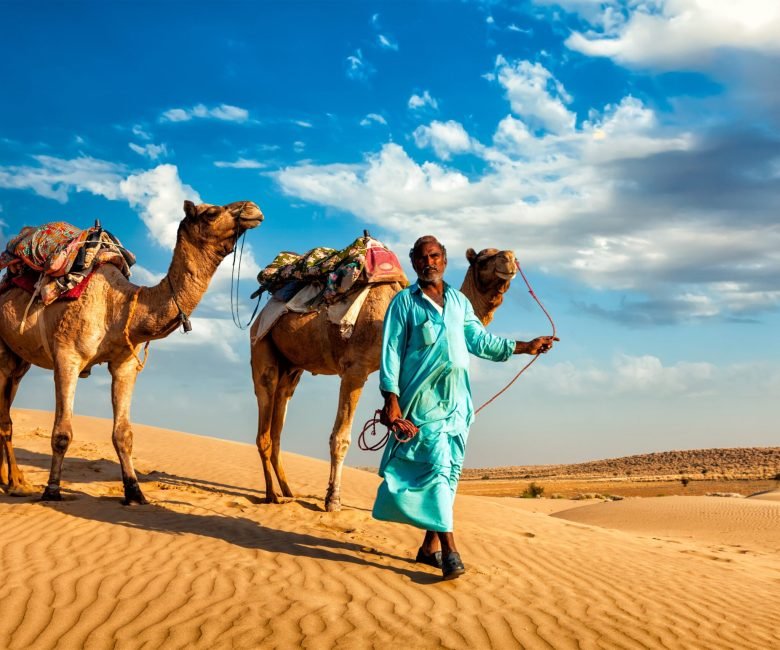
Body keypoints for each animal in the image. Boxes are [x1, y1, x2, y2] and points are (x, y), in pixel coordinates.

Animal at [0, 200, 262, 504]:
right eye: (211, 212)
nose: (253, 208)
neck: (119, 305)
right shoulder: (67, 357)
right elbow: (62, 433)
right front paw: (52, 491)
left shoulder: (124, 363)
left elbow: (123, 434)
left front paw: (135, 491)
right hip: (3, 352)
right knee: (5, 417)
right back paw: (16, 485)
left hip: (20, 360)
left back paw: (14, 481)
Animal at [251, 246, 516, 508]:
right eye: (483, 259)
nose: (510, 258)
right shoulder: (354, 369)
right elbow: (340, 438)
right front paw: (333, 499)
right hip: (262, 345)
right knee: (265, 413)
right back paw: (271, 495)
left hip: (292, 367)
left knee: (279, 420)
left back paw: (287, 491)